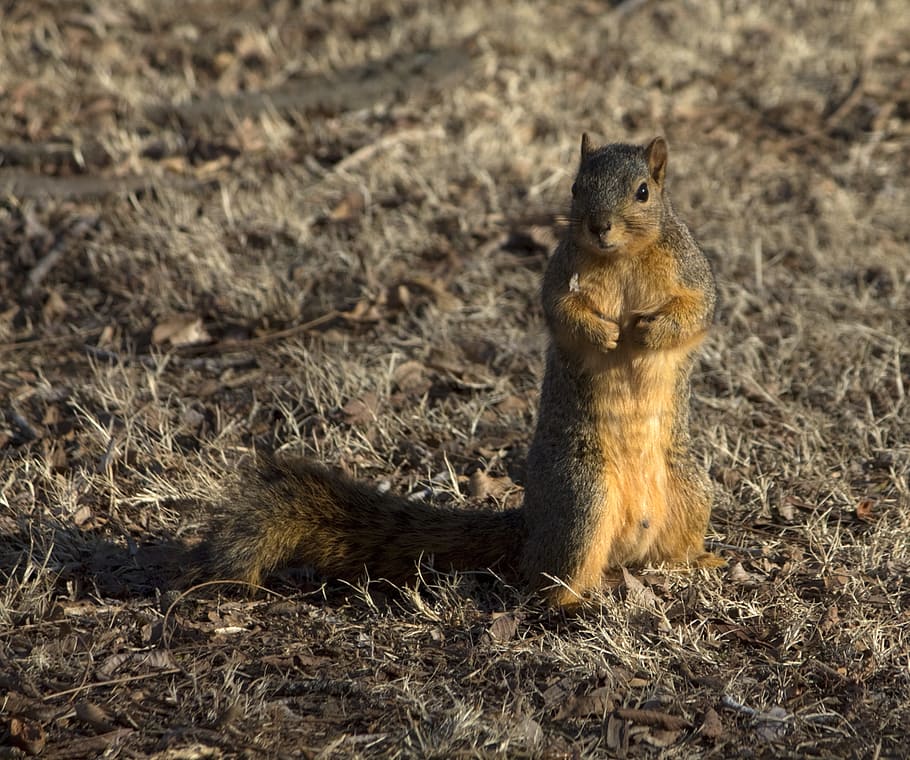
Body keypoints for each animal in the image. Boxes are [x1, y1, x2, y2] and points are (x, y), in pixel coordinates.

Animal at [196, 135, 724, 604]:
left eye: (643, 191)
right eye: (576, 187)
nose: (599, 226)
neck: (623, 257)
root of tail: (530, 525)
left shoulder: (691, 272)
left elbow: (696, 311)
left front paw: (648, 331)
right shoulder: (558, 279)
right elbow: (563, 315)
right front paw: (605, 335)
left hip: (690, 490)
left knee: (667, 550)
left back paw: (701, 560)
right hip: (583, 502)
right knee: (551, 579)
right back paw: (573, 603)